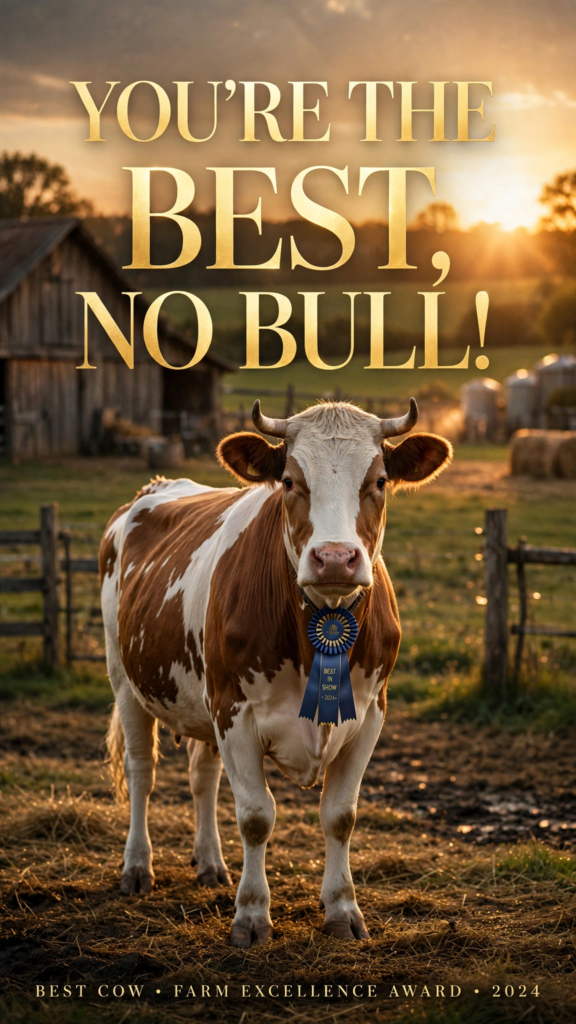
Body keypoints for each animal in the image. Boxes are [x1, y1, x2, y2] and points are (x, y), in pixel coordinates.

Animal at [100, 399, 452, 947]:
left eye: (378, 481)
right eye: (288, 480)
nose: (335, 558)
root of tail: (155, 487)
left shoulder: (369, 715)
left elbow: (340, 816)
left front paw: (342, 910)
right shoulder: (235, 713)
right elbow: (255, 817)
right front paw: (251, 916)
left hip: (202, 698)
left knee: (202, 776)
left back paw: (210, 864)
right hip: (127, 680)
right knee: (142, 773)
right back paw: (137, 867)